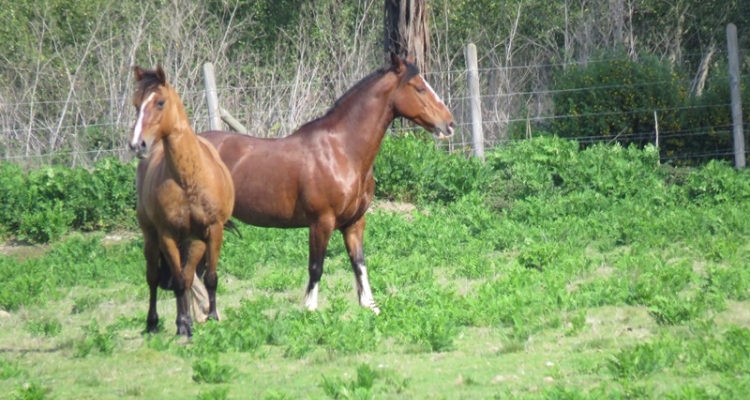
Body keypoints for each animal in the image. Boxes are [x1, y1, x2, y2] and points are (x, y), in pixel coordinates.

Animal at [129, 66, 235, 338]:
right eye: (136, 105)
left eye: (160, 102)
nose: (137, 145)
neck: (189, 180)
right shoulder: (166, 235)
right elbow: (176, 281)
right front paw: (183, 325)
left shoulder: (209, 232)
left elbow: (206, 278)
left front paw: (211, 316)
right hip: (151, 237)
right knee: (153, 277)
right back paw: (153, 322)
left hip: (190, 242)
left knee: (189, 278)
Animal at [200, 54, 456, 316]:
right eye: (419, 88)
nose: (449, 124)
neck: (342, 151)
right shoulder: (321, 222)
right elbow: (316, 266)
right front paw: (309, 309)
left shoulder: (354, 223)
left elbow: (359, 263)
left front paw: (370, 306)